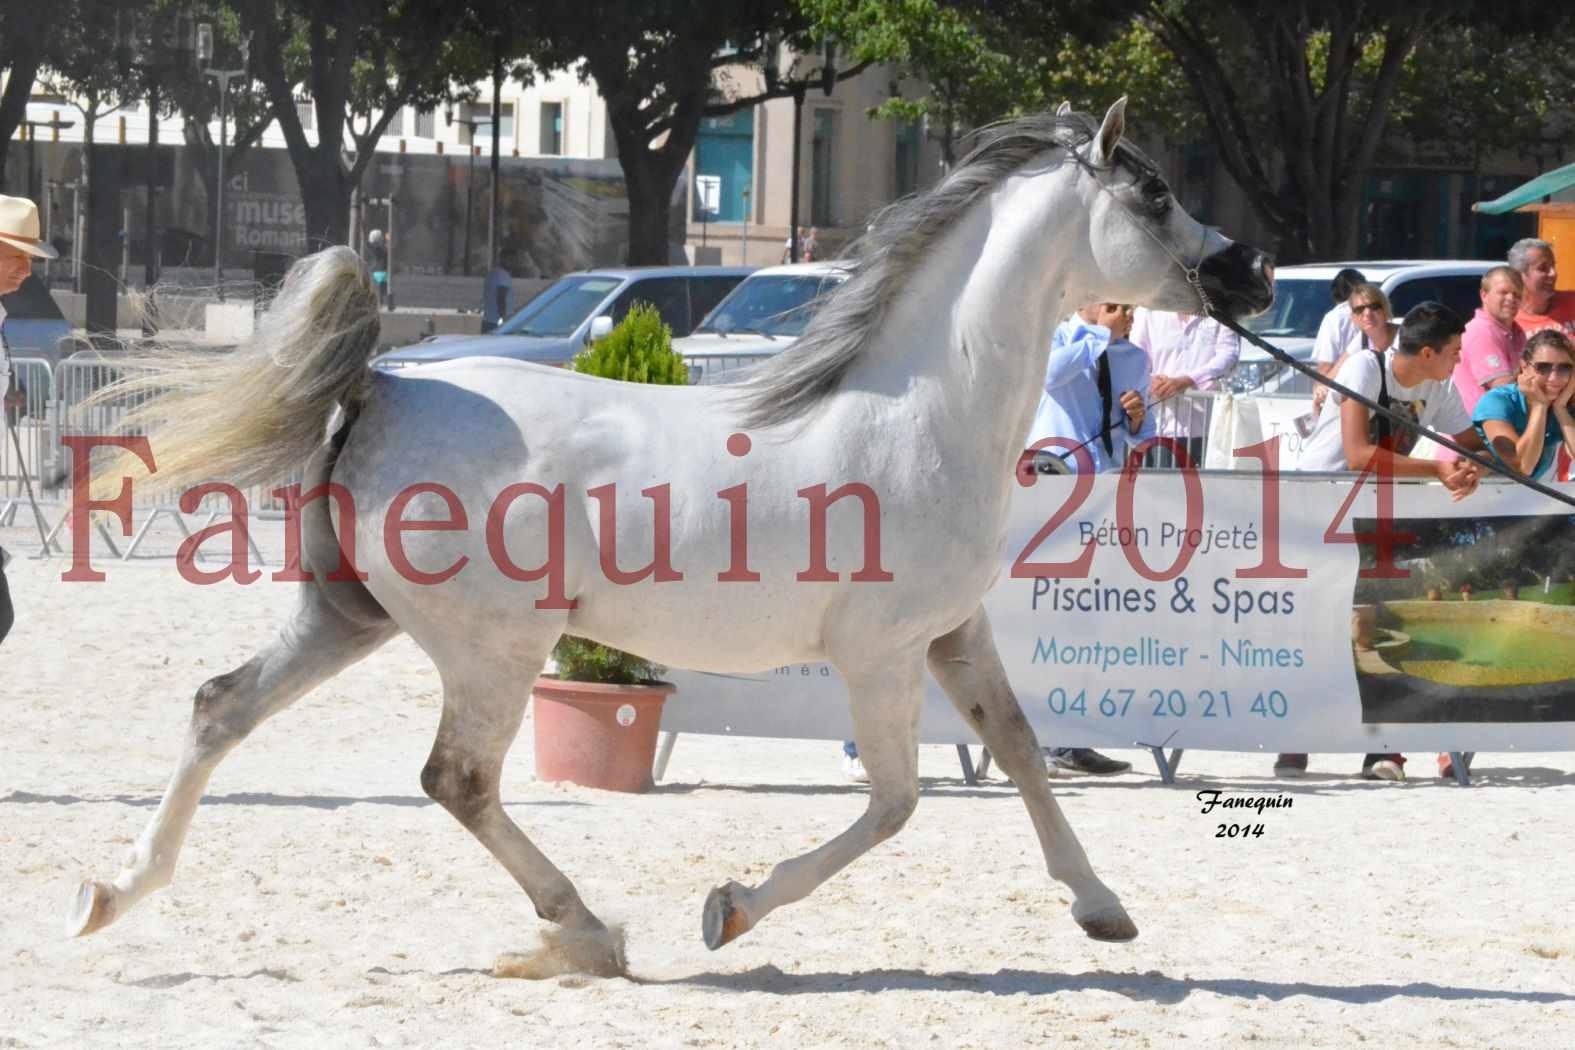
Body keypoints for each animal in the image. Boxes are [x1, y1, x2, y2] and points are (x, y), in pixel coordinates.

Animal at [70, 100, 1278, 976]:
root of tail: (383, 386)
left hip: (348, 617)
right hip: (494, 649)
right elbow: (894, 804)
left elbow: (1023, 751)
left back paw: (111, 894)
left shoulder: (952, 633)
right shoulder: (882, 654)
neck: (918, 411)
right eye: (1155, 193)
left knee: (221, 707)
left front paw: (1103, 909)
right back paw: (587, 931)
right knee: (457, 779)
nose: (1253, 273)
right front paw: (729, 910)